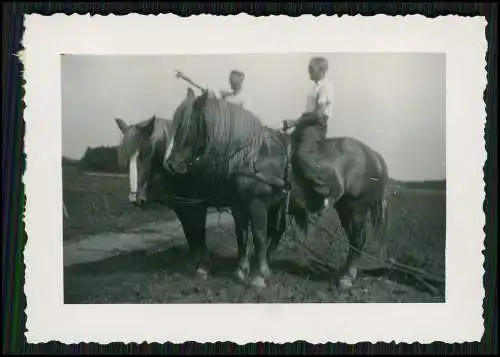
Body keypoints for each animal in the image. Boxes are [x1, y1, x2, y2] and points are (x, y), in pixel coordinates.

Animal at [164, 87, 390, 288]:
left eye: (187, 126)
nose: (170, 165)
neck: (252, 156)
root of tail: (373, 154)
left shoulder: (258, 205)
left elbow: (259, 236)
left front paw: (260, 276)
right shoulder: (239, 205)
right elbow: (241, 235)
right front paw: (241, 270)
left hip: (357, 207)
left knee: (358, 239)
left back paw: (346, 277)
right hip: (345, 208)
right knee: (354, 239)